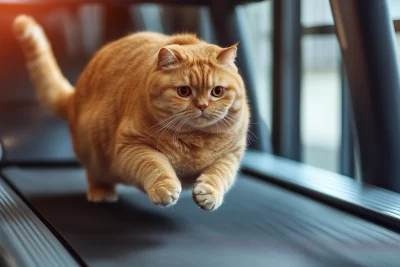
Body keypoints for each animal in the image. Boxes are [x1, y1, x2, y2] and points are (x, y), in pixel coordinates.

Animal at [12, 14, 248, 213]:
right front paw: (164, 187)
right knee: (95, 175)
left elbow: (220, 173)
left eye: (217, 91)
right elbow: (155, 165)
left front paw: (209, 193)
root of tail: (75, 94)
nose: (202, 106)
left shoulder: (232, 154)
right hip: (93, 151)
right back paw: (101, 193)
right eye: (184, 91)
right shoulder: (132, 147)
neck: (194, 139)